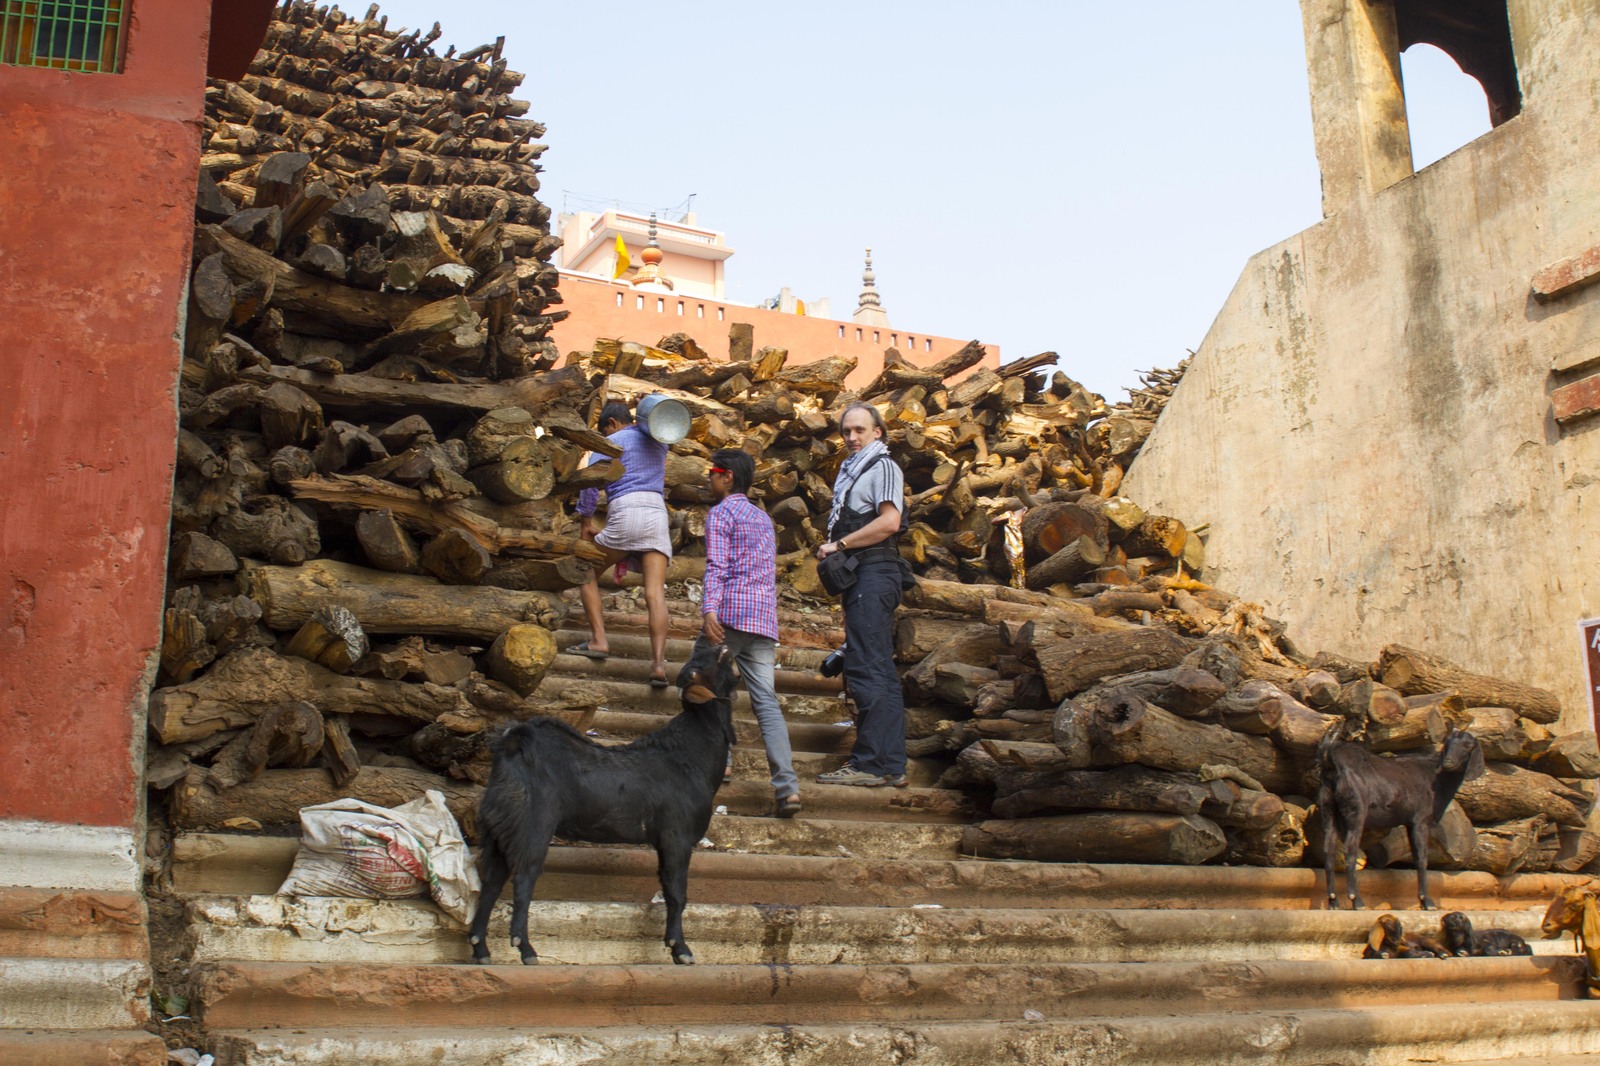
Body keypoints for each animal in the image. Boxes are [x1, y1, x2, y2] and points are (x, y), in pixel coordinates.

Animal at [464, 640, 736, 960]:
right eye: (696, 667)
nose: (711, 642)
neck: (690, 754)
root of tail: (513, 744)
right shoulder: (676, 836)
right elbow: (677, 893)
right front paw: (680, 949)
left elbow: (667, 886)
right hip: (533, 824)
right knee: (524, 876)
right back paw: (526, 948)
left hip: (499, 826)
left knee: (491, 882)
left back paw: (480, 947)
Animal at [1318, 723, 1478, 902]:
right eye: (1447, 742)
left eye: (1468, 745)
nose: (1448, 762)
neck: (1437, 777)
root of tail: (1331, 757)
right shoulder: (1421, 821)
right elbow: (1422, 858)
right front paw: (1426, 901)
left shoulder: (1409, 822)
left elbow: (1416, 856)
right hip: (1356, 811)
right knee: (1350, 849)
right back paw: (1356, 900)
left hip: (1328, 807)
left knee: (1328, 849)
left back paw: (1333, 900)